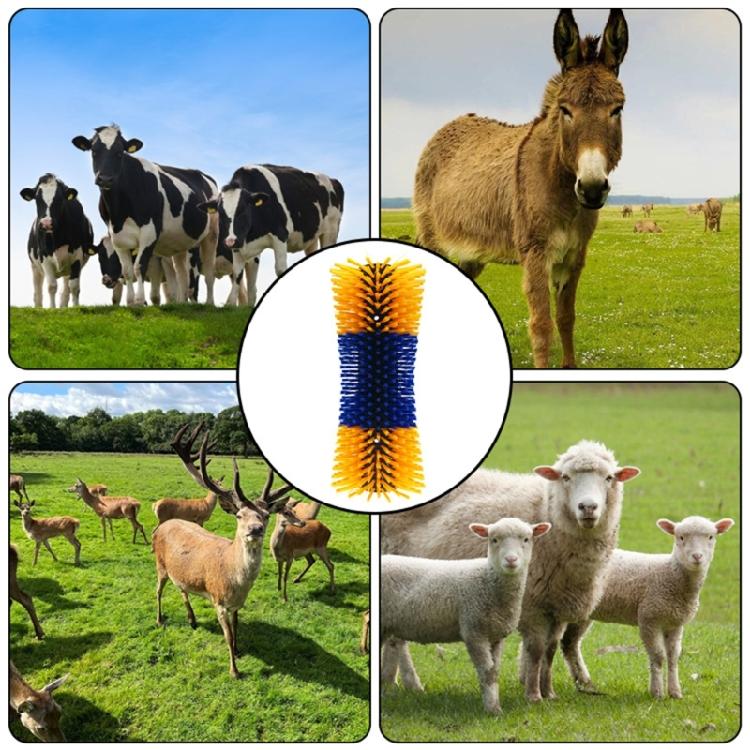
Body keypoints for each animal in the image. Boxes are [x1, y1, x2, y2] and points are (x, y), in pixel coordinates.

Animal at [20, 174, 95, 308]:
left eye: (60, 199)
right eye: (37, 199)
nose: (46, 223)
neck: (57, 240)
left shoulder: (77, 257)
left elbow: (74, 286)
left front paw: (76, 308)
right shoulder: (44, 257)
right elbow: (51, 286)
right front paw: (52, 308)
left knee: (67, 288)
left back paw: (63, 306)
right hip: (35, 267)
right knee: (37, 291)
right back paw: (39, 307)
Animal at [72, 125, 219, 306]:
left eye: (120, 153)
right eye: (94, 151)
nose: (105, 179)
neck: (120, 212)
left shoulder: (150, 233)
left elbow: (138, 267)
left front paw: (140, 300)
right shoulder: (116, 237)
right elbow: (127, 271)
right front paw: (130, 302)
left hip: (211, 235)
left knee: (209, 272)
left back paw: (209, 303)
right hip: (180, 242)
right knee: (181, 273)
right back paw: (181, 303)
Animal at [199, 164, 344, 306]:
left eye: (243, 210)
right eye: (221, 213)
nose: (230, 241)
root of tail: (332, 179)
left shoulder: (280, 235)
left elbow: (280, 270)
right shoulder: (239, 243)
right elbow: (238, 273)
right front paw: (235, 304)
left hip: (331, 230)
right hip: (311, 237)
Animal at [381, 518, 551, 714]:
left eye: (526, 539)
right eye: (494, 539)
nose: (511, 560)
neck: (488, 581)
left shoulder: (495, 635)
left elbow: (495, 671)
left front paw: (494, 704)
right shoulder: (474, 631)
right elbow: (487, 672)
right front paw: (493, 709)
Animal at [561, 515, 734, 699]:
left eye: (711, 537)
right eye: (680, 537)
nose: (697, 556)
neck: (670, 575)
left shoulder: (675, 623)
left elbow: (673, 656)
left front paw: (675, 692)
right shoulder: (649, 618)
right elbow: (658, 656)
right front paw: (657, 692)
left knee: (570, 644)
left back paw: (585, 683)